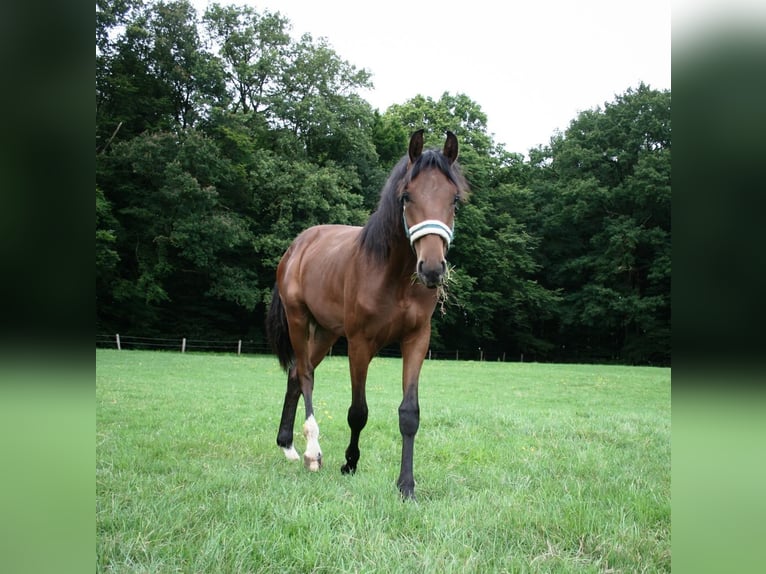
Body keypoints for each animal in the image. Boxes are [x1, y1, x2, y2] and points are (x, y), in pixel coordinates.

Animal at [266, 130, 468, 500]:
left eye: (455, 200)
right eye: (406, 196)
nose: (432, 269)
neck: (393, 276)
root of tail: (297, 245)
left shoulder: (416, 340)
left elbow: (409, 413)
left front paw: (406, 485)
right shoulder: (360, 343)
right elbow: (358, 411)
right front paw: (350, 463)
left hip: (326, 332)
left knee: (295, 375)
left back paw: (287, 445)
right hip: (299, 321)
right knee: (305, 375)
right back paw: (312, 451)